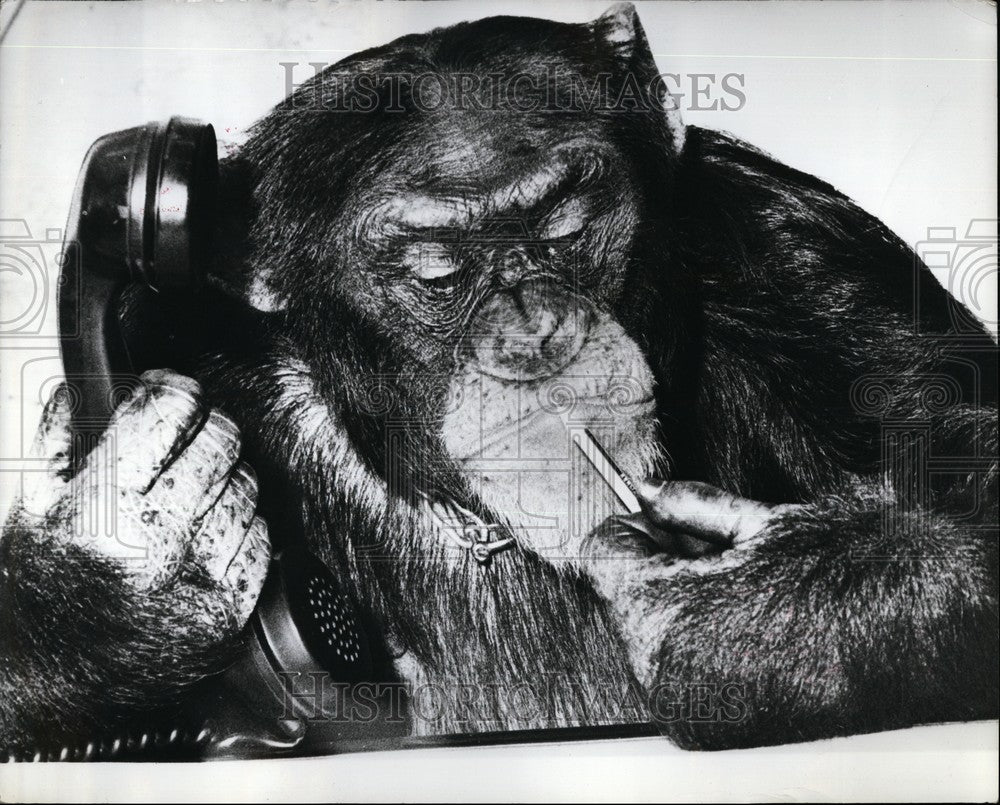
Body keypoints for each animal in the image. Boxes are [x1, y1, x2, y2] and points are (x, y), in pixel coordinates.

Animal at [1, 3, 996, 753]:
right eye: (438, 271)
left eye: (565, 224)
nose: (533, 331)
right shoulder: (174, 341)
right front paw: (124, 566)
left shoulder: (801, 252)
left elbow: (968, 469)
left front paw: (747, 613)